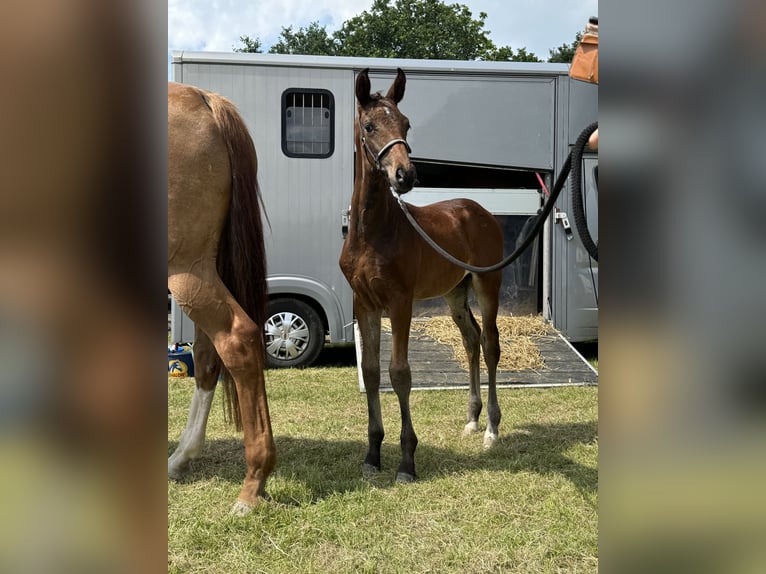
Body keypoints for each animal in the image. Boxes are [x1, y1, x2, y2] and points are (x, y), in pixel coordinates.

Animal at [339, 69, 505, 483]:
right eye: (369, 126)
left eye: (406, 124)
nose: (406, 175)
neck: (373, 232)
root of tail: (478, 210)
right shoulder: (363, 302)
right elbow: (370, 371)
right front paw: (372, 455)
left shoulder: (400, 302)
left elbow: (399, 373)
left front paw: (406, 461)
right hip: (455, 291)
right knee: (471, 339)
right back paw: (472, 419)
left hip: (488, 283)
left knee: (491, 344)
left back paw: (492, 429)